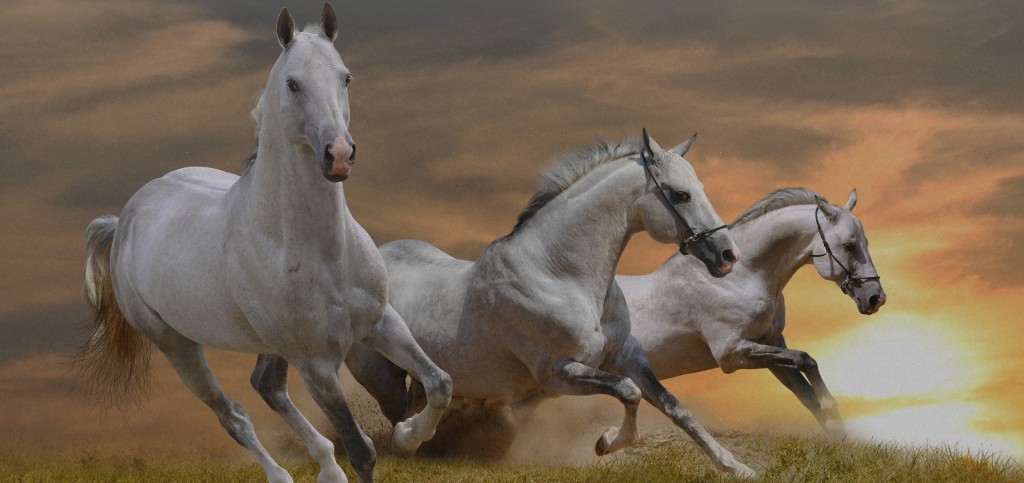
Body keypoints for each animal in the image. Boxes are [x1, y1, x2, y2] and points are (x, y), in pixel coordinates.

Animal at [77, 6, 451, 483]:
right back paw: (283, 474)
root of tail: (123, 220)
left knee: (266, 386)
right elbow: (362, 450)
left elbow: (440, 383)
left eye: (346, 77)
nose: (339, 155)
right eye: (292, 83)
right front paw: (388, 444)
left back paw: (327, 467)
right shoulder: (315, 362)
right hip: (177, 346)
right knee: (233, 414)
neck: (322, 253)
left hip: (269, 345)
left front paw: (407, 436)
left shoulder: (381, 322)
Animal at [347, 130, 758, 477]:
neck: (559, 274)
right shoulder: (558, 374)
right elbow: (629, 392)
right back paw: (407, 441)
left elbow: (674, 407)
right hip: (382, 377)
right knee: (402, 412)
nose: (727, 256)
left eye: (698, 188)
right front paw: (607, 442)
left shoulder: (626, 357)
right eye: (680, 194)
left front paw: (736, 467)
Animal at [618, 187, 886, 436]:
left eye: (866, 243)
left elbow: (806, 394)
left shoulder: (771, 345)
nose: (876, 298)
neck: (739, 278)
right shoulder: (731, 353)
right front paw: (833, 414)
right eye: (848, 245)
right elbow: (806, 360)